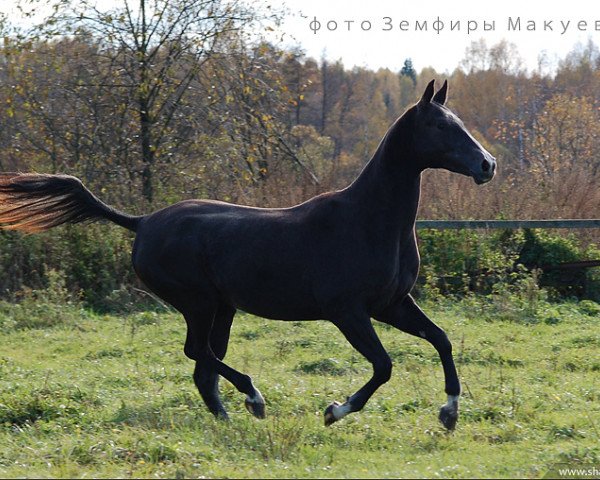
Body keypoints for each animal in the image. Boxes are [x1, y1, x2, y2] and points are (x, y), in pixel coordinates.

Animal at [0, 79, 494, 432]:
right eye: (441, 126)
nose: (487, 165)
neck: (369, 221)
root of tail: (142, 223)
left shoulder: (392, 304)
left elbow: (441, 340)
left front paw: (449, 412)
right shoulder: (348, 311)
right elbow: (384, 366)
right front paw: (335, 410)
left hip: (222, 308)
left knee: (203, 368)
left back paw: (229, 418)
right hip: (198, 303)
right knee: (197, 353)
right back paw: (254, 399)